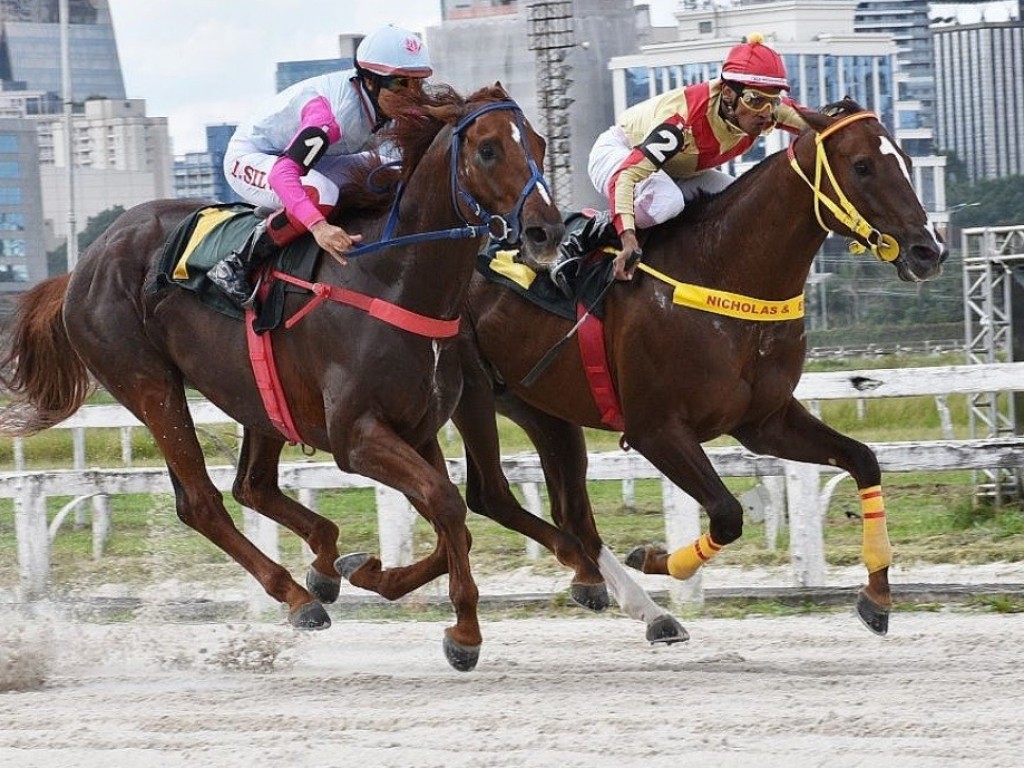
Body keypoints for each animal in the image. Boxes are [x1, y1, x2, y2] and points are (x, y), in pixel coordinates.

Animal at [0, 85, 561, 671]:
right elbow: (447, 504)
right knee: (201, 501)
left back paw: (323, 565)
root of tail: (79, 267)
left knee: (253, 485)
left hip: (254, 393)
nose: (547, 232)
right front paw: (465, 632)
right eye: (488, 150)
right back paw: (296, 596)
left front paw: (368, 571)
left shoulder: (417, 428)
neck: (392, 277)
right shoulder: (355, 436)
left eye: (540, 142)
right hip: (147, 383)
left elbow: (449, 517)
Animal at [452, 102, 946, 643]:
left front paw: (877, 596)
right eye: (862, 166)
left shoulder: (764, 421)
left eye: (906, 159)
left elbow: (863, 460)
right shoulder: (656, 429)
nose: (929, 251)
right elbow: (728, 514)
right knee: (489, 494)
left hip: (539, 406)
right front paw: (655, 558)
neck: (721, 270)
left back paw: (630, 601)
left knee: (569, 511)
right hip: (468, 394)